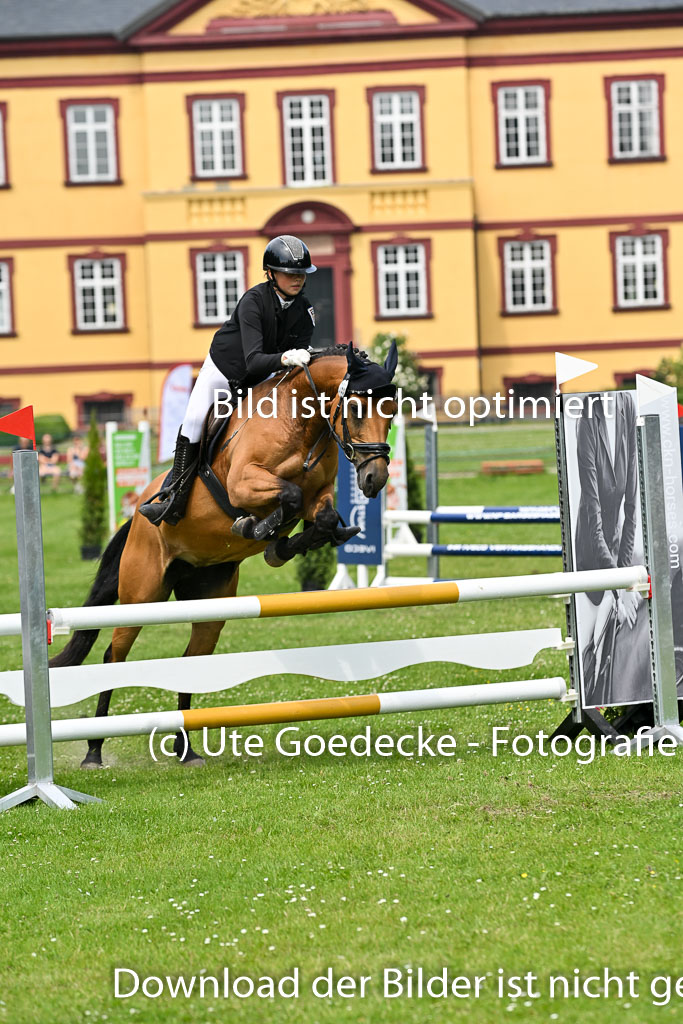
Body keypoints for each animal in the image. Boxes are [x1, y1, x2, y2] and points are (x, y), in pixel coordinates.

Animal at [50, 343, 399, 767]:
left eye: (393, 411)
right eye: (356, 409)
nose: (374, 480)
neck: (300, 423)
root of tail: (137, 516)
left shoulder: (320, 496)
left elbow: (323, 515)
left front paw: (282, 545)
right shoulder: (243, 483)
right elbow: (287, 495)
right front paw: (257, 529)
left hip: (209, 602)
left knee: (192, 659)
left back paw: (185, 749)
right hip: (142, 592)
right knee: (113, 657)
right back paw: (94, 750)